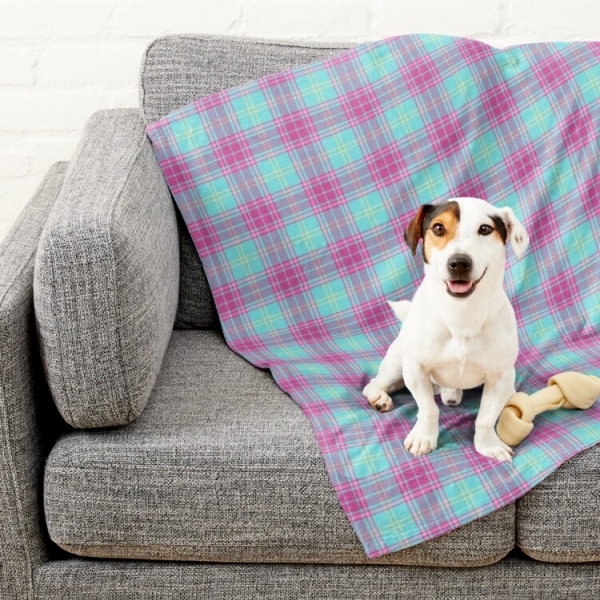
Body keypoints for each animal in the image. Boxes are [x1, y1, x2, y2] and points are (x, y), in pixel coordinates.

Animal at [364, 199, 528, 462]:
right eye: (438, 228)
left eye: (485, 229)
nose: (459, 262)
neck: (461, 315)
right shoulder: (416, 369)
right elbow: (428, 409)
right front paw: (424, 438)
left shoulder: (500, 376)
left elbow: (485, 418)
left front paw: (488, 445)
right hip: (397, 365)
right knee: (374, 383)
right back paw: (379, 397)